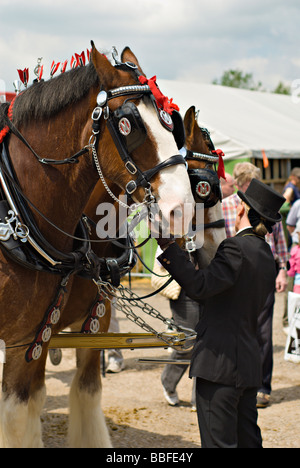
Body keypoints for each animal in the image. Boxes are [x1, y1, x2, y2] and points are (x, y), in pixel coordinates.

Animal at [0, 43, 195, 446]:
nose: (183, 208)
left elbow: (83, 391)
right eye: (129, 124)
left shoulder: (62, 327)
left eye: (171, 123)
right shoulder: (26, 336)